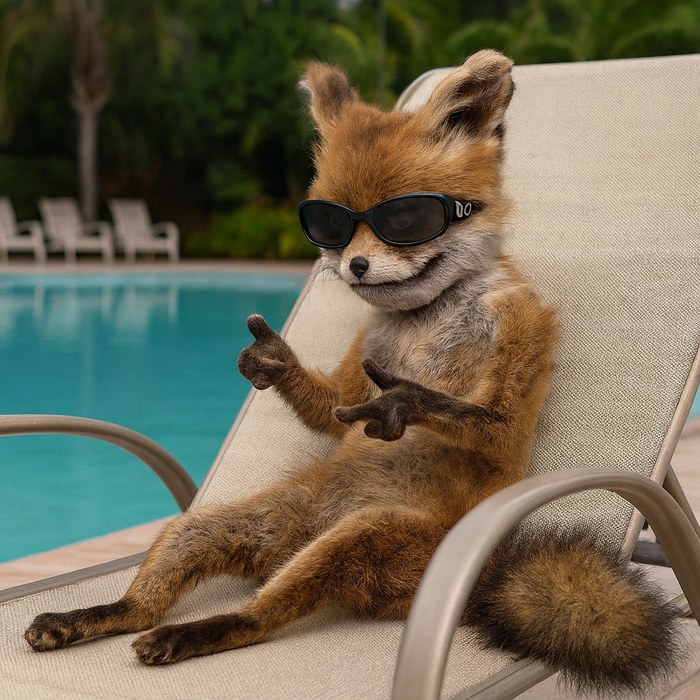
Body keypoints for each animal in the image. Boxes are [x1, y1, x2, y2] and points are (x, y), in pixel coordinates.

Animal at [24, 50, 682, 696]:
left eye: (406, 219)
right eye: (331, 225)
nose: (355, 266)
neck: (423, 320)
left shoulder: (519, 346)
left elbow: (487, 419)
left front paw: (405, 401)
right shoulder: (356, 369)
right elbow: (330, 405)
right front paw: (275, 358)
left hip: (358, 537)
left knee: (258, 618)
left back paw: (195, 632)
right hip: (212, 528)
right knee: (146, 602)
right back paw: (88, 617)